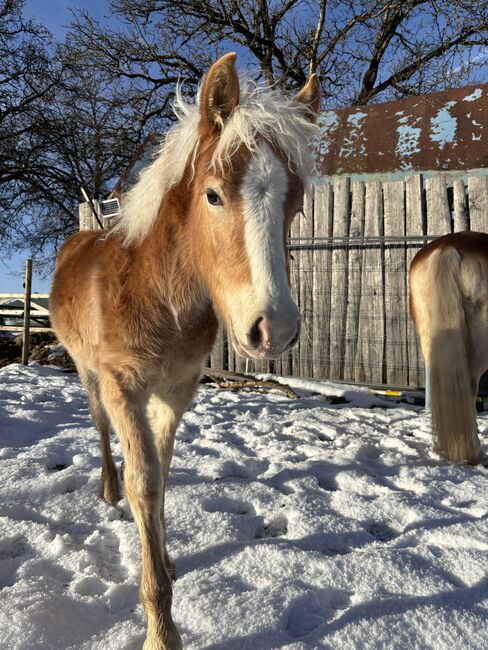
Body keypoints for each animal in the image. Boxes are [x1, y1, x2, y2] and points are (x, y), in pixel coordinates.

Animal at [49, 53, 320, 644]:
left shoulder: (176, 390)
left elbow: (164, 469)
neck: (158, 293)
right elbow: (144, 482)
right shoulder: (124, 387)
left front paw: (167, 562)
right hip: (87, 372)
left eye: (296, 204)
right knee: (99, 425)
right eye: (213, 195)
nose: (275, 329)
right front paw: (160, 628)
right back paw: (107, 488)